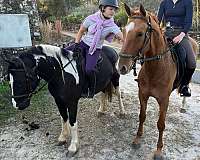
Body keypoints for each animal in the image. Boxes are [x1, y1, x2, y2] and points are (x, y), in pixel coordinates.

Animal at [119, 3, 198, 159]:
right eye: (124, 30)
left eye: (140, 34)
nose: (122, 67)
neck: (155, 69)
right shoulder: (142, 95)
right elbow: (142, 116)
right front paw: (137, 139)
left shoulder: (164, 100)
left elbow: (161, 124)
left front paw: (159, 150)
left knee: (186, 85)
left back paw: (184, 104)